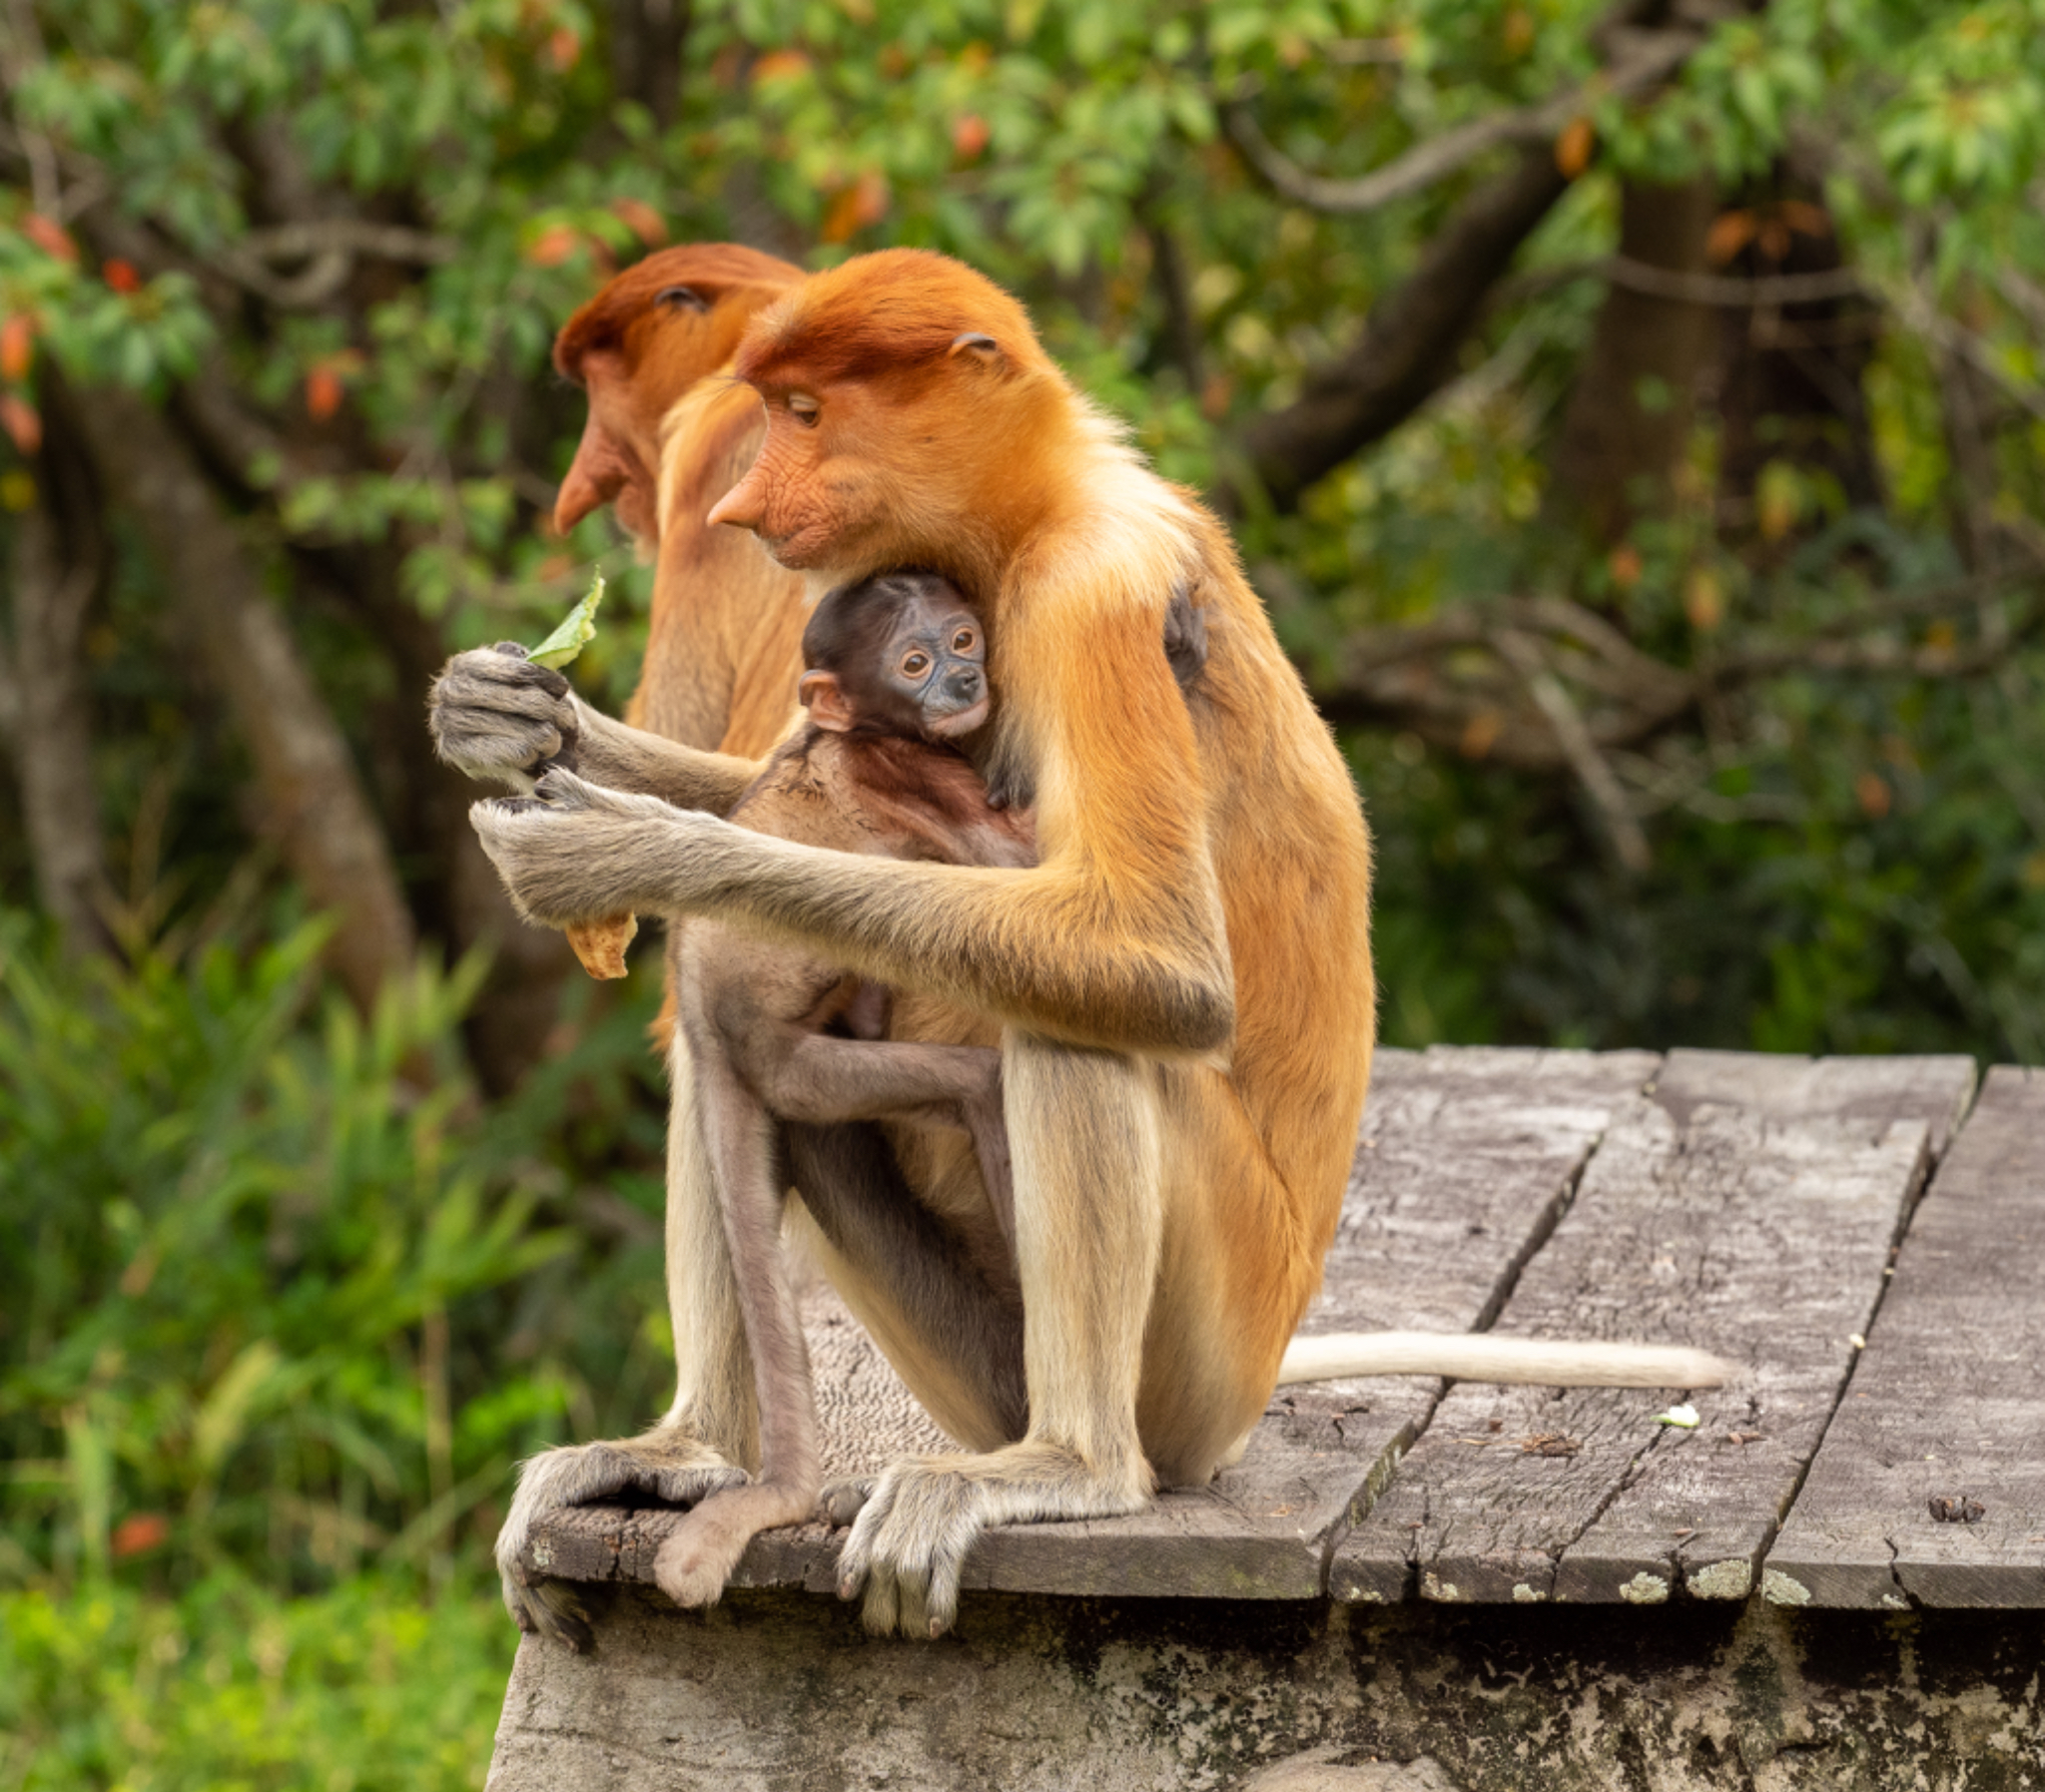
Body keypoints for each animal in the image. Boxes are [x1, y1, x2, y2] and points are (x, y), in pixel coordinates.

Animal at [651, 569, 1034, 1607]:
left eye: (963, 638)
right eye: (915, 661)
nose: (963, 681)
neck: (857, 735)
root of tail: (706, 1014)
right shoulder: (909, 773)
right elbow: (1021, 862)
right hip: (796, 1067)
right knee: (978, 1087)